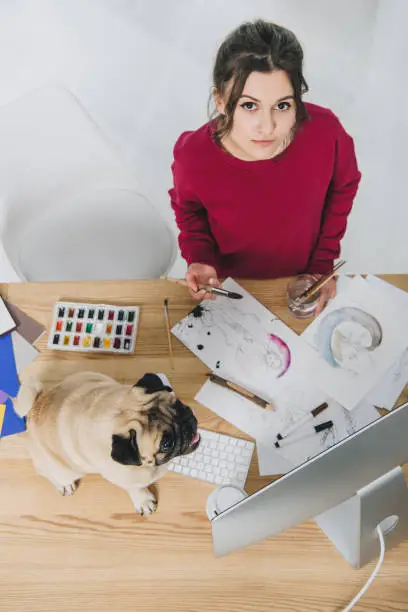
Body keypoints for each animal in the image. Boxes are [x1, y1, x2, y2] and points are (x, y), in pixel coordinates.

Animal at [14, 370, 201, 512]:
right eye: (166, 444)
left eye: (180, 405)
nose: (187, 426)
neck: (119, 414)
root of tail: (35, 406)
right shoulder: (124, 478)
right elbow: (135, 487)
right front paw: (143, 501)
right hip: (64, 468)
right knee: (45, 471)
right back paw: (64, 484)